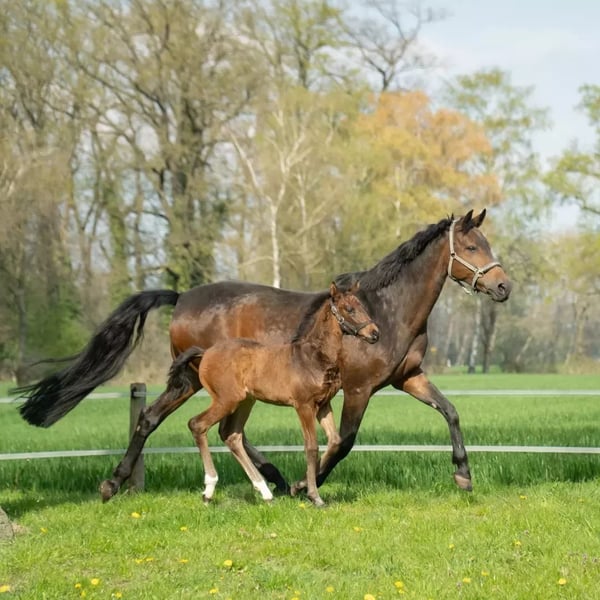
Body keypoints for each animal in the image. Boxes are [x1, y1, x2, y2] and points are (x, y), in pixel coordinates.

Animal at [167, 282, 379, 506]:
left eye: (362, 306)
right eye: (349, 309)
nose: (375, 334)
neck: (312, 356)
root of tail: (206, 352)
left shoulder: (323, 404)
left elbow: (335, 441)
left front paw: (301, 486)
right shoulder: (304, 405)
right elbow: (311, 447)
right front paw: (314, 496)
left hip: (245, 402)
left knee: (232, 436)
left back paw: (265, 493)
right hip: (226, 400)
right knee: (198, 424)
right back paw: (209, 490)